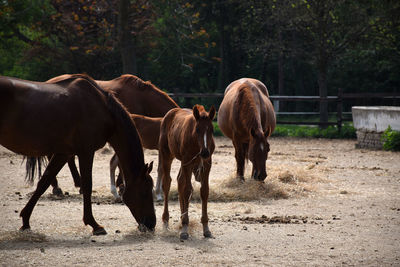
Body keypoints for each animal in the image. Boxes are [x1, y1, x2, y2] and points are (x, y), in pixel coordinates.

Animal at [0, 74, 155, 236]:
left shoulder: (63, 153)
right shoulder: (86, 152)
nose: (151, 223)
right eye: (145, 191)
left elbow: (44, 182)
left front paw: (25, 220)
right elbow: (87, 185)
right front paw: (94, 224)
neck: (103, 109)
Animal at [159, 105, 216, 241]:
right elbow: (187, 190)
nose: (205, 152)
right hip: (167, 155)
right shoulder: (187, 162)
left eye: (211, 130)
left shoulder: (206, 164)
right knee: (167, 183)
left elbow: (204, 191)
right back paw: (166, 221)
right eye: (197, 129)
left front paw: (206, 229)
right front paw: (185, 228)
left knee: (180, 180)